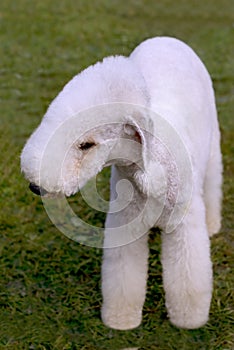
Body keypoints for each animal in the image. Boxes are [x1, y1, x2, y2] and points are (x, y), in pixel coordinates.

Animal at [21, 38, 222, 330]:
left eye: (86, 145)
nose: (36, 187)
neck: (149, 169)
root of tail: (166, 39)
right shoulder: (125, 225)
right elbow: (124, 275)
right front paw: (120, 320)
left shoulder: (183, 224)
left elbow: (188, 275)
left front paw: (189, 320)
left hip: (213, 145)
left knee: (213, 183)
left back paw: (213, 224)